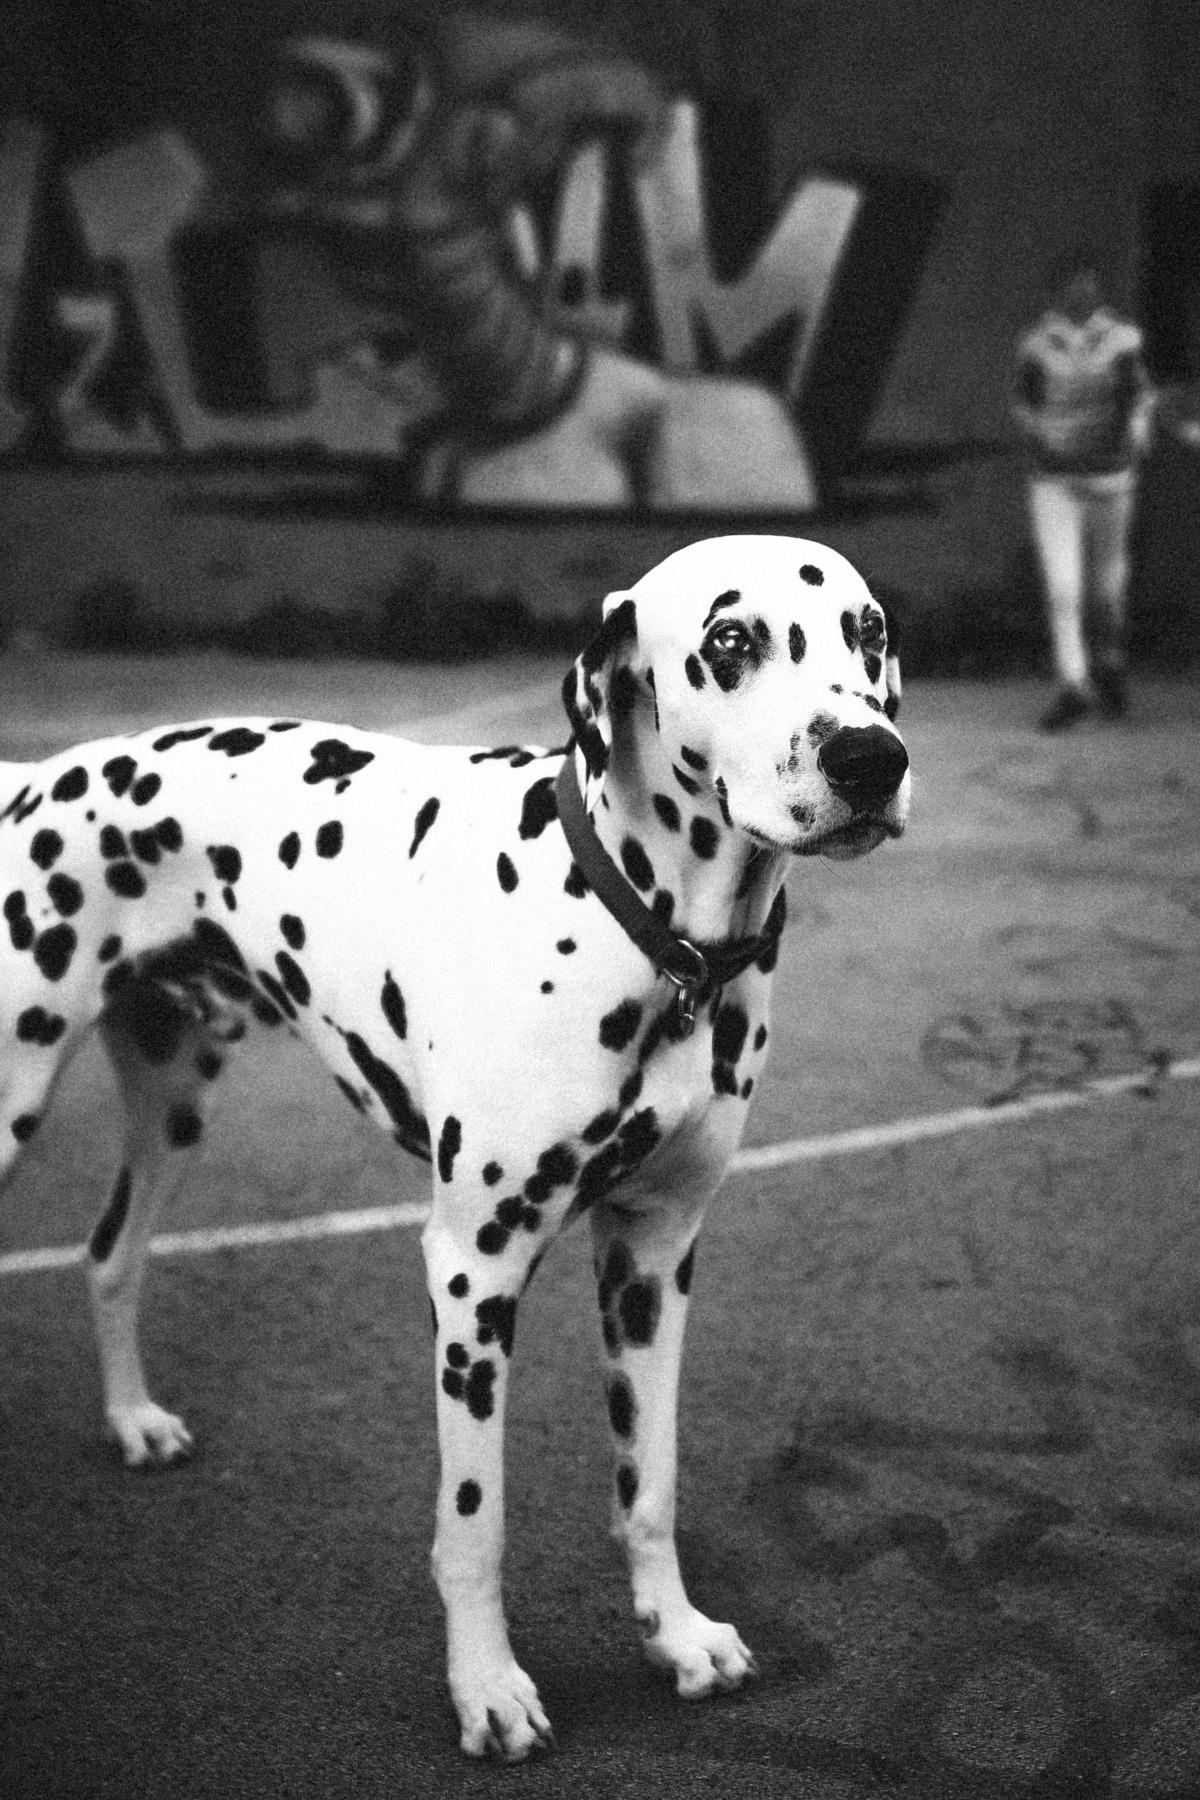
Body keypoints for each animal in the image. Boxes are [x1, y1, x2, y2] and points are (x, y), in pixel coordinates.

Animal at [0, 529, 899, 1756]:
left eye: (870, 633)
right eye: (729, 640)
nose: (873, 758)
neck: (649, 936)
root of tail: (39, 775)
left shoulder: (655, 1257)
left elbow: (651, 1481)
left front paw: (675, 1635)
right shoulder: (474, 1274)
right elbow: (475, 1521)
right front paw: (488, 1688)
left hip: (175, 1104)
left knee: (109, 1253)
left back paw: (133, 1420)